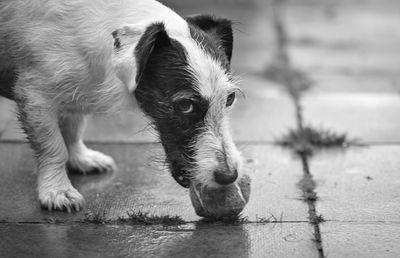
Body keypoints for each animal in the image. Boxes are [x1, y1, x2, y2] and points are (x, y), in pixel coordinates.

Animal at [0, 0, 244, 212]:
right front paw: (57, 190)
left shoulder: (71, 92)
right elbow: (53, 146)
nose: (229, 177)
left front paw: (80, 158)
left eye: (230, 98)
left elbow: (73, 128)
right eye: (185, 105)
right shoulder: (35, 96)